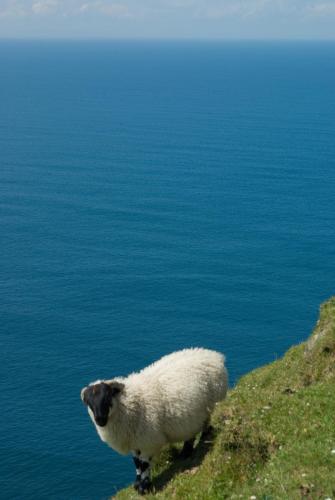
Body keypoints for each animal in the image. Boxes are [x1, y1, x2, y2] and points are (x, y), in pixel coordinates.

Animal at [81, 346, 228, 494]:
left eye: (107, 397)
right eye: (89, 403)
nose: (100, 420)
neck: (128, 406)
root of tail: (213, 354)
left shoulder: (148, 441)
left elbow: (144, 464)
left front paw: (144, 487)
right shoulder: (135, 441)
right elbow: (136, 463)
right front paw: (137, 484)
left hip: (213, 403)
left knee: (206, 422)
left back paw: (203, 437)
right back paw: (186, 452)